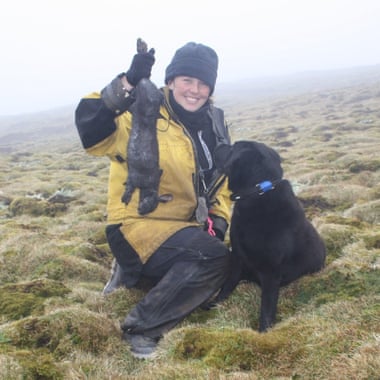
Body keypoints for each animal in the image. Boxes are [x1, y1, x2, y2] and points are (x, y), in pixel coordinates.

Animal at [212, 141, 326, 332]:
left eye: (232, 147)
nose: (218, 144)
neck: (258, 192)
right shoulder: (237, 256)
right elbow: (228, 284)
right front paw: (215, 303)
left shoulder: (271, 270)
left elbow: (267, 307)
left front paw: (264, 331)